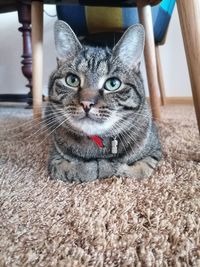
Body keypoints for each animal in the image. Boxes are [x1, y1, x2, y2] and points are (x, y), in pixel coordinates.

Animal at [46, 19, 162, 183]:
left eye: (113, 84)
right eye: (72, 80)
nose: (86, 103)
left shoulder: (155, 150)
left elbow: (137, 170)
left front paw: (107, 167)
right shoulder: (55, 156)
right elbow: (70, 169)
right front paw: (92, 168)